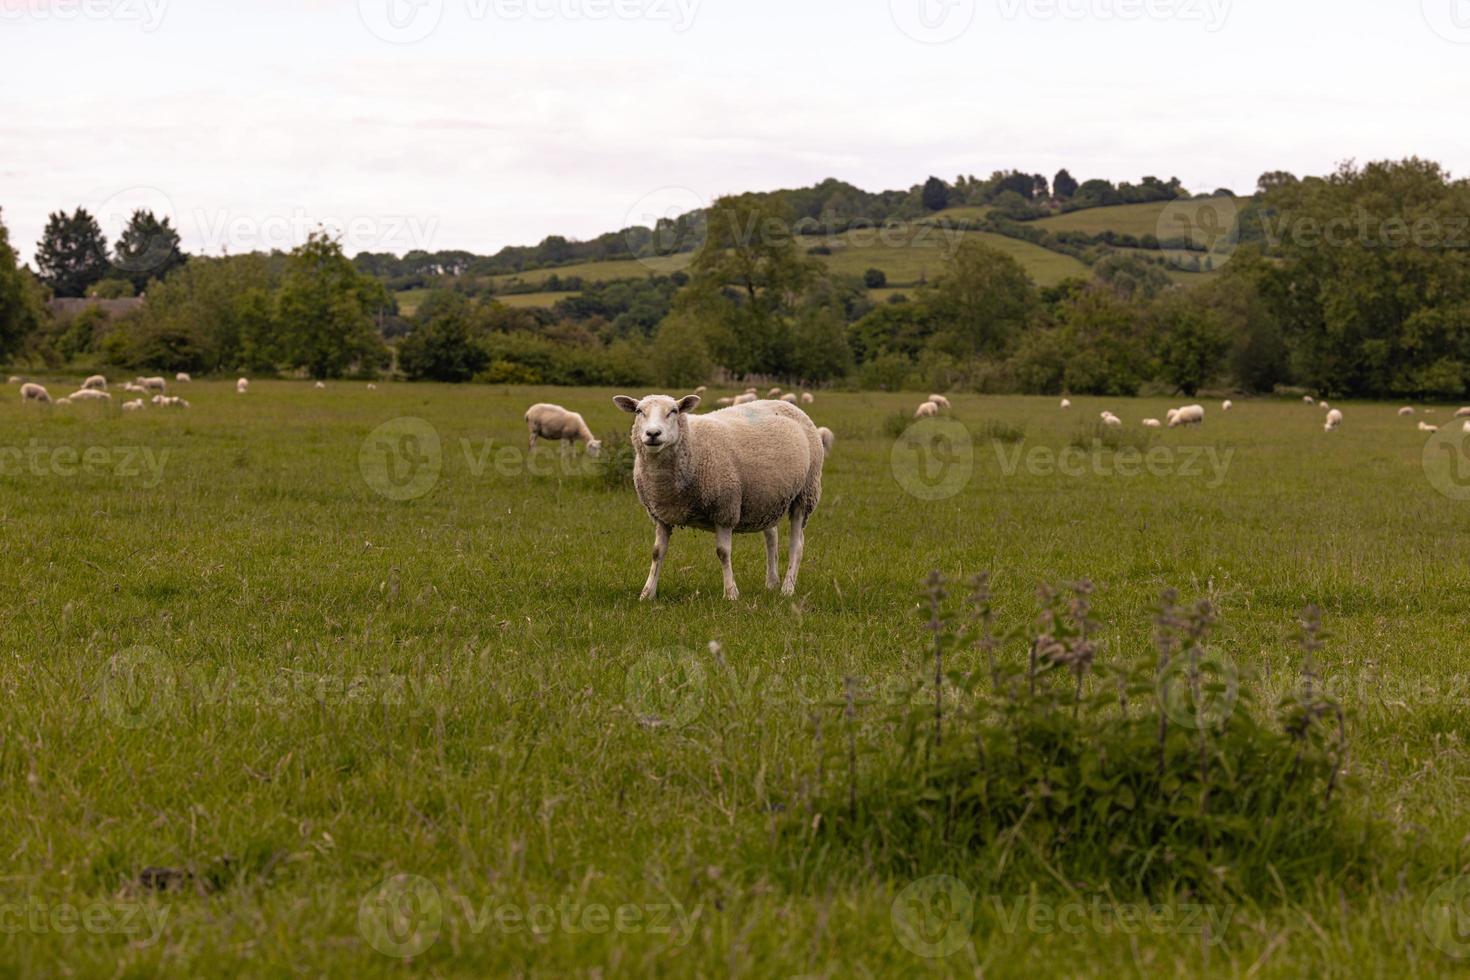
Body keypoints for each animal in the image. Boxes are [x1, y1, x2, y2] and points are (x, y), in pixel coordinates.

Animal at [602, 393, 823, 602]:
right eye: (639, 411)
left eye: (674, 411)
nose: (653, 434)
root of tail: (787, 404)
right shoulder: (661, 516)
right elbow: (657, 553)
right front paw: (647, 593)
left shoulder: (725, 510)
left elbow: (723, 553)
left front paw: (731, 593)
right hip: (766, 498)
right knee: (771, 537)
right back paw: (772, 582)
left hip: (805, 493)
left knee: (797, 544)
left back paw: (787, 588)